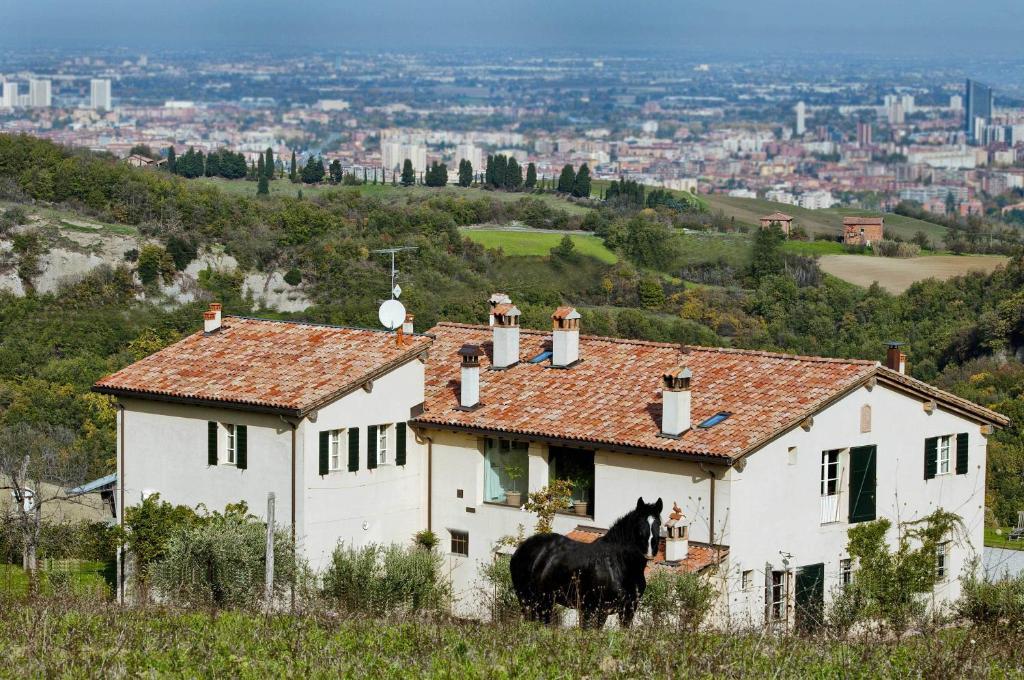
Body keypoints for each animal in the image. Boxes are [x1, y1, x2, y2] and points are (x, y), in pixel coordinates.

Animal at [509, 497, 663, 630]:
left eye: (658, 523)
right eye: (639, 523)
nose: (650, 551)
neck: (618, 565)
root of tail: (522, 549)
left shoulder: (628, 609)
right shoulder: (598, 610)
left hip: (545, 602)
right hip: (529, 601)